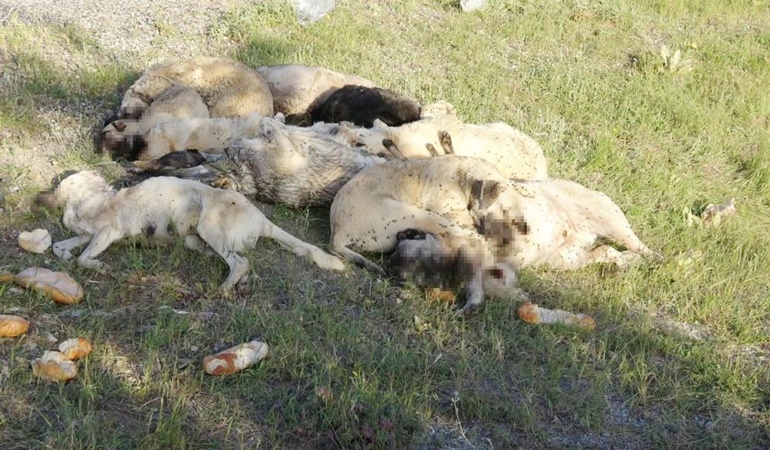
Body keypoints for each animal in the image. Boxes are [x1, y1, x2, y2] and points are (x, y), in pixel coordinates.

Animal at [34, 171, 344, 292]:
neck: (92, 200)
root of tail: (261, 219)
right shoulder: (87, 235)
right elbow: (60, 247)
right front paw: (65, 255)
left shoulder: (107, 232)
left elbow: (83, 257)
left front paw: (97, 265)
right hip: (196, 239)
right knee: (229, 257)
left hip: (210, 226)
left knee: (240, 262)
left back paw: (224, 288)